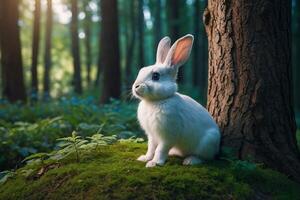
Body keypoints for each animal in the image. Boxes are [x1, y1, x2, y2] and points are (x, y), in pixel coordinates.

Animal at [132, 34, 220, 167]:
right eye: (141, 71)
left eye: (156, 76)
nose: (136, 86)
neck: (155, 101)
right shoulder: (152, 135)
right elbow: (151, 148)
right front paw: (144, 158)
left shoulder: (168, 135)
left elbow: (160, 149)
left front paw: (154, 163)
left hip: (208, 142)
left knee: (205, 157)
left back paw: (190, 161)